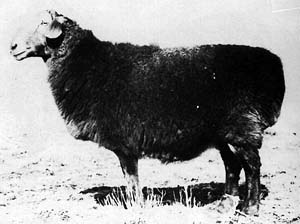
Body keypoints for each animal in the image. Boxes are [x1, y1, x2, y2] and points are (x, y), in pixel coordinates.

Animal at [10, 10, 284, 215]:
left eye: (43, 22)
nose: (12, 46)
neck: (88, 65)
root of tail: (274, 63)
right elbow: (129, 179)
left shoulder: (125, 142)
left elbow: (131, 179)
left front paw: (136, 208)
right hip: (223, 134)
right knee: (232, 166)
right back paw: (224, 205)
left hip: (243, 128)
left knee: (252, 167)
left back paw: (250, 208)